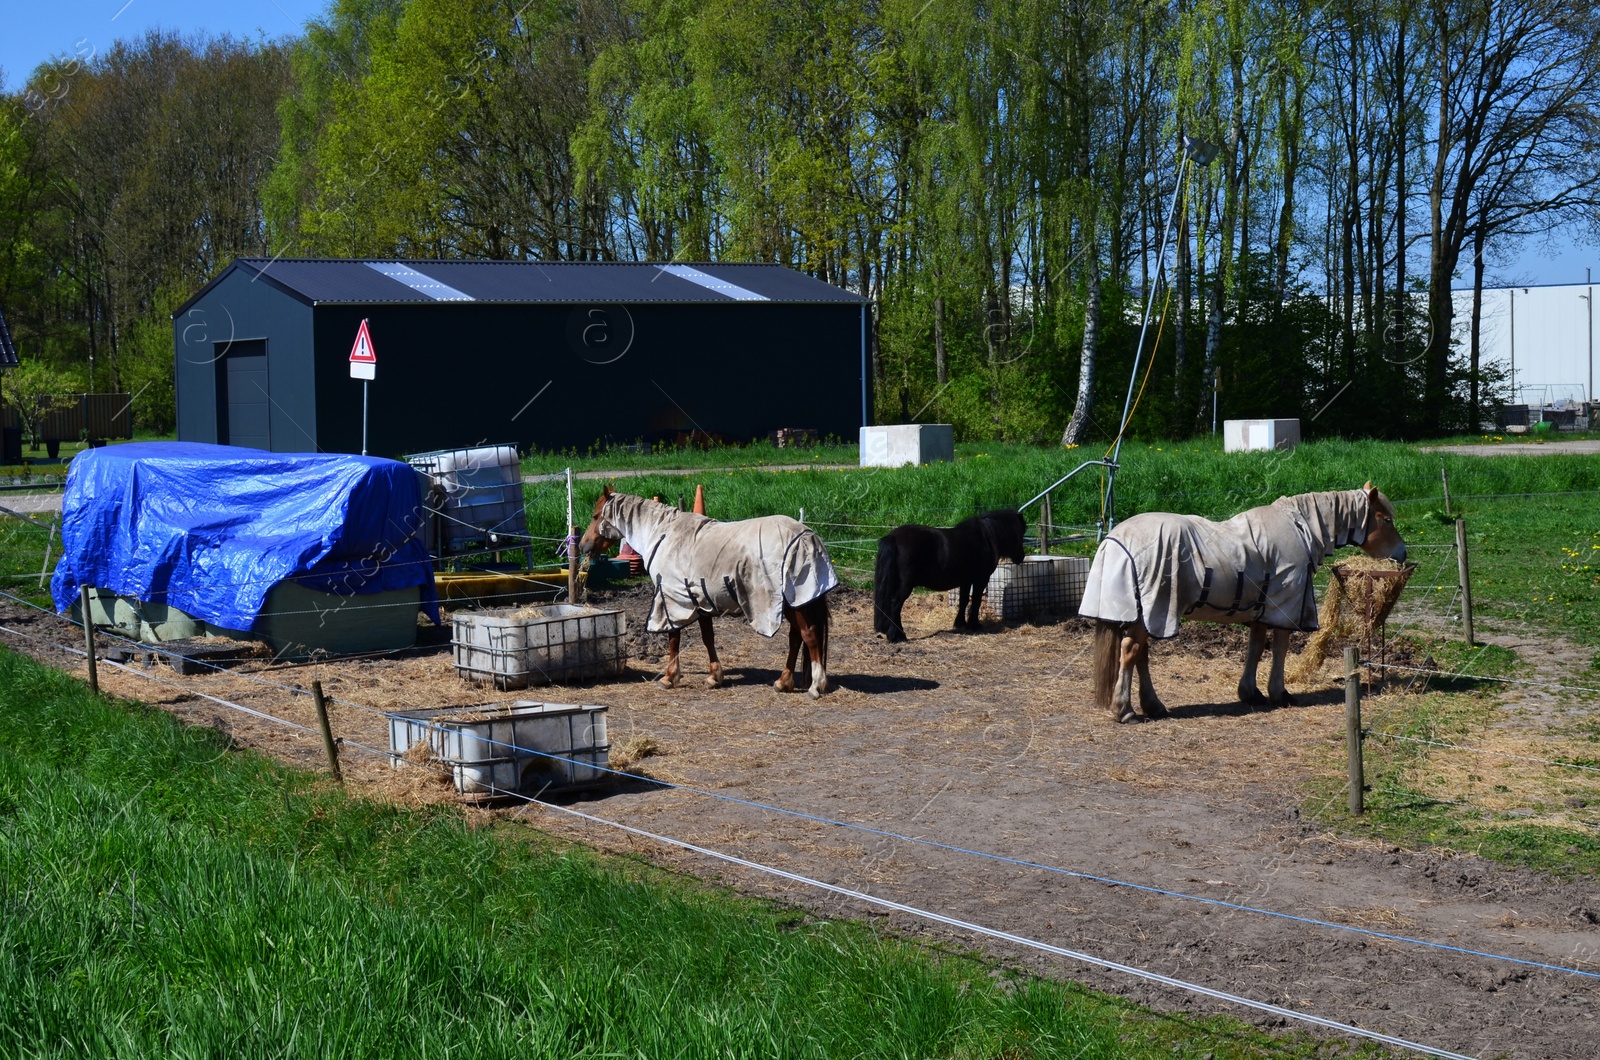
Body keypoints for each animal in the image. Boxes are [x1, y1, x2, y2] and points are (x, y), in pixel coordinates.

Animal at [876, 512, 1024, 643]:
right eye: (1021, 533)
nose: (1021, 557)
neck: (985, 538)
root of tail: (893, 537)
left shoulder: (966, 581)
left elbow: (964, 600)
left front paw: (960, 623)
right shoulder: (981, 579)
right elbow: (976, 601)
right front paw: (974, 625)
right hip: (905, 585)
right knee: (895, 604)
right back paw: (897, 636)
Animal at [1081, 486, 1408, 726]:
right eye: (1386, 520)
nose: (1402, 553)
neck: (1300, 528)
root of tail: (1116, 540)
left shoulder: (1261, 608)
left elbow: (1255, 646)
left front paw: (1250, 692)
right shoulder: (1284, 605)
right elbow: (1279, 648)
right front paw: (1279, 693)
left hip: (1147, 616)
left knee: (1141, 655)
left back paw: (1153, 706)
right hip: (1154, 611)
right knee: (1130, 652)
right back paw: (1125, 710)